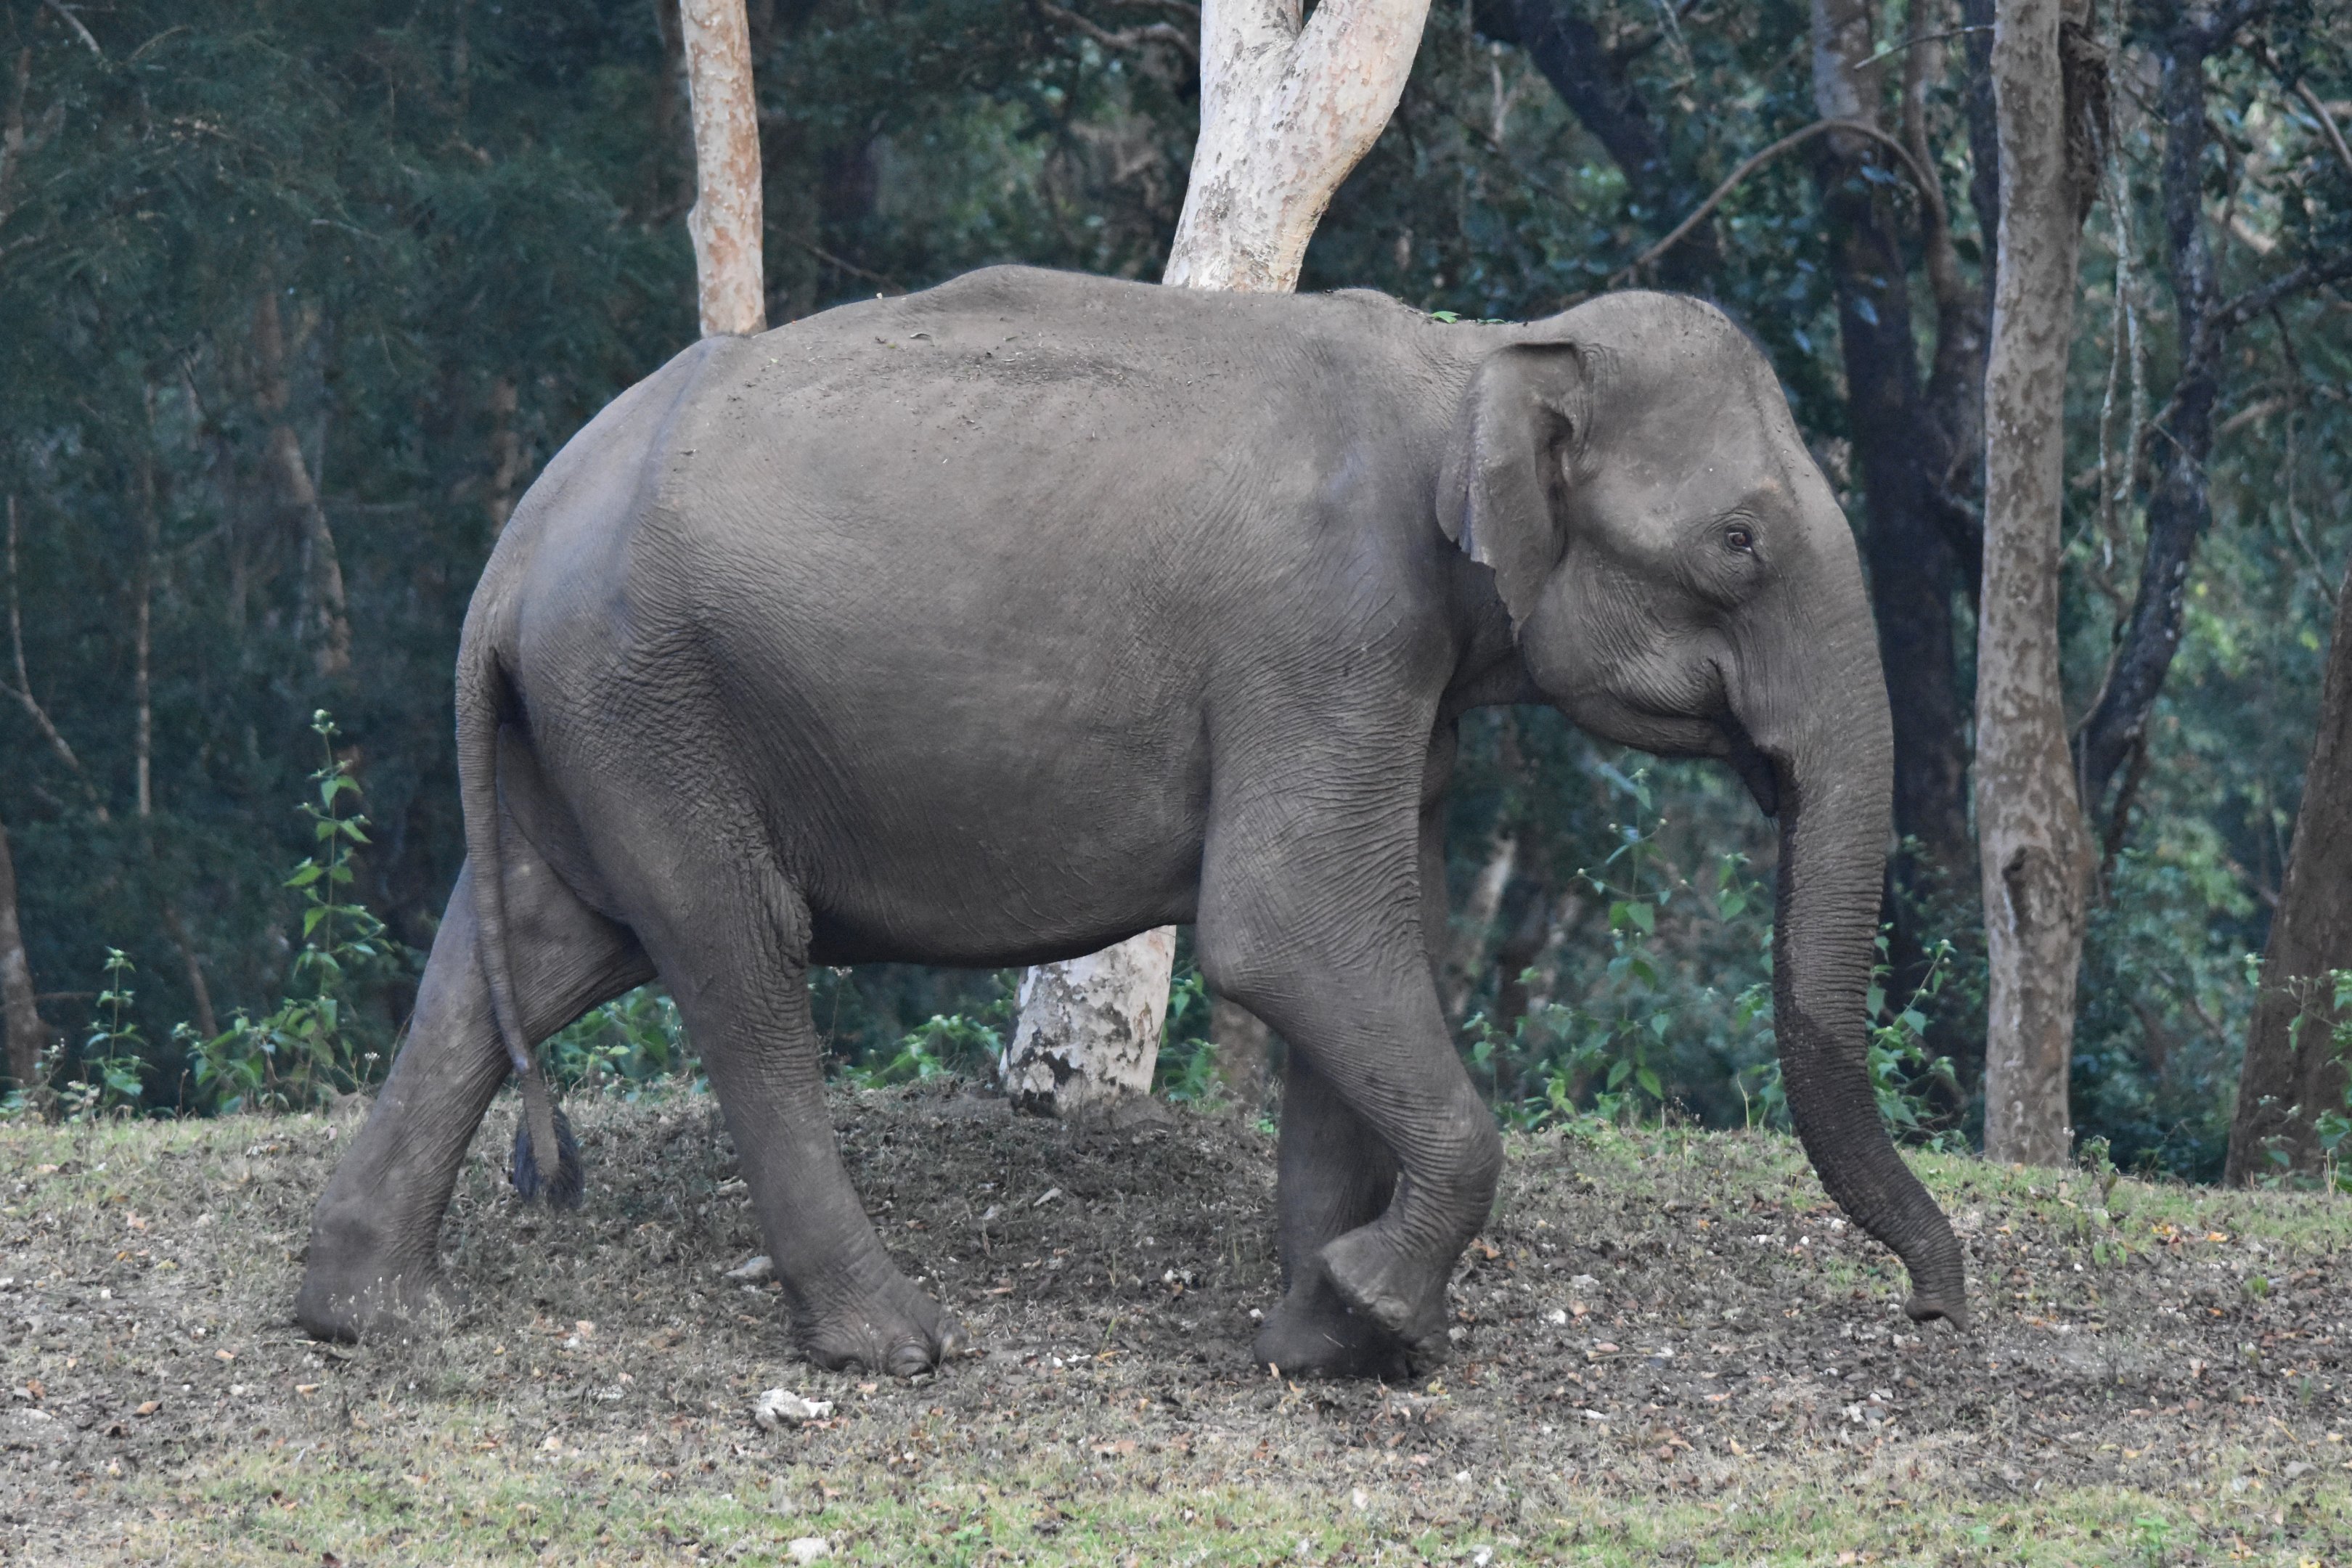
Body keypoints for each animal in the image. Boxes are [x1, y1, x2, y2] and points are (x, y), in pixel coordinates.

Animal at [295, 264, 1968, 1378]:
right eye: (1740, 543)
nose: (1935, 1307)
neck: (1476, 353)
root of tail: (513, 550)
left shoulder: (1397, 674)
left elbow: (1373, 944)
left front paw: (1322, 1342)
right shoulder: (1328, 630)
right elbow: (1286, 925)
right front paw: (1378, 1312)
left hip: (597, 716)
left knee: (526, 947)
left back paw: (364, 1316)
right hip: (656, 697)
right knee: (732, 954)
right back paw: (894, 1345)